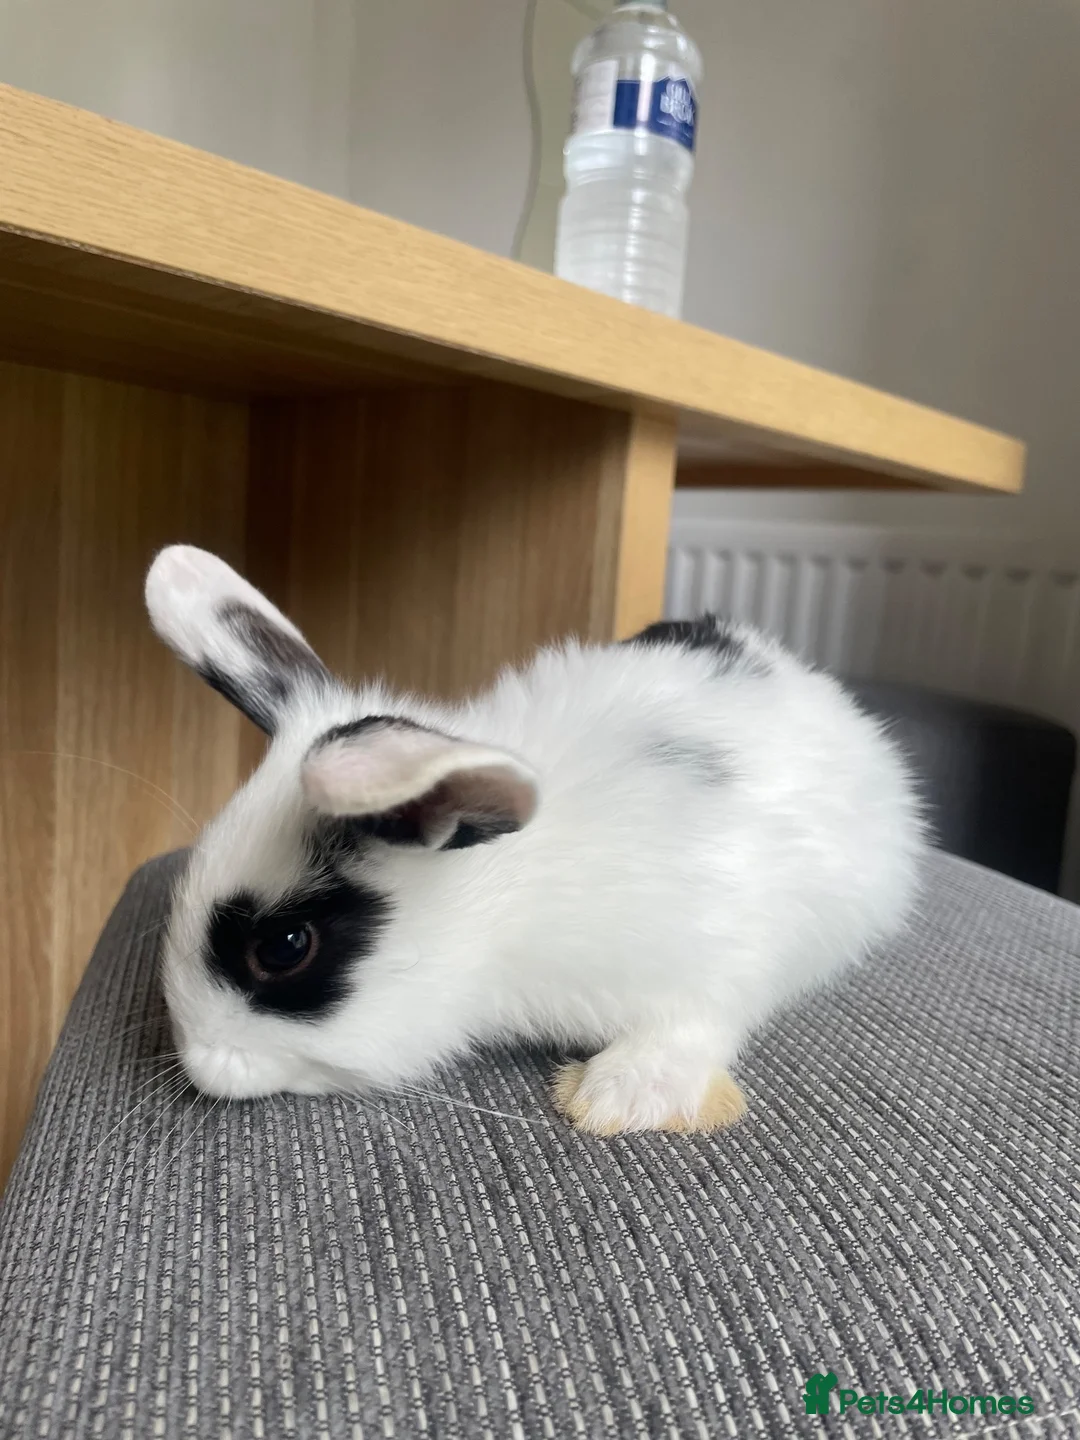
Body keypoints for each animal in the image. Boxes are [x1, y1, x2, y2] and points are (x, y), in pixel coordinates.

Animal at [145, 544, 923, 1135]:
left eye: (283, 948)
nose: (198, 1063)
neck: (498, 909)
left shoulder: (715, 956)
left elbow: (697, 1022)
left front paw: (619, 1098)